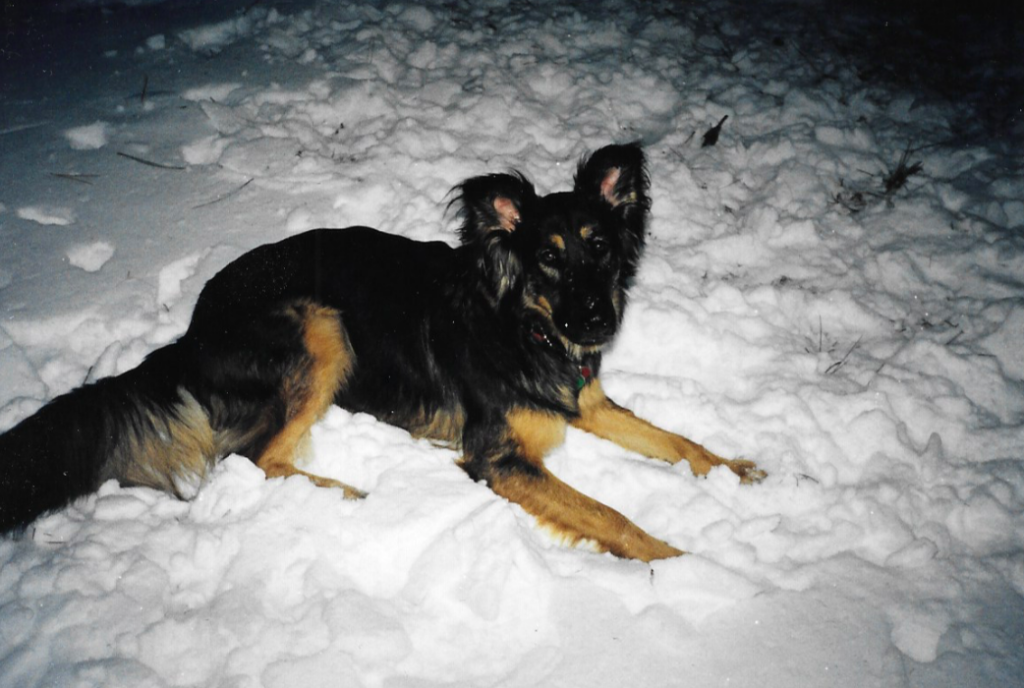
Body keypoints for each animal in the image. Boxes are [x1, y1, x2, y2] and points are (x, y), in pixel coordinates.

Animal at [0, 143, 765, 556]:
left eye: (599, 247)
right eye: (548, 258)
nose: (597, 320)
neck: (525, 325)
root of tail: (189, 333)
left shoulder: (587, 402)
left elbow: (678, 440)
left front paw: (735, 469)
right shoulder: (496, 457)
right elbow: (609, 513)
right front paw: (676, 560)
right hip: (320, 325)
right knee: (254, 459)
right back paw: (346, 493)